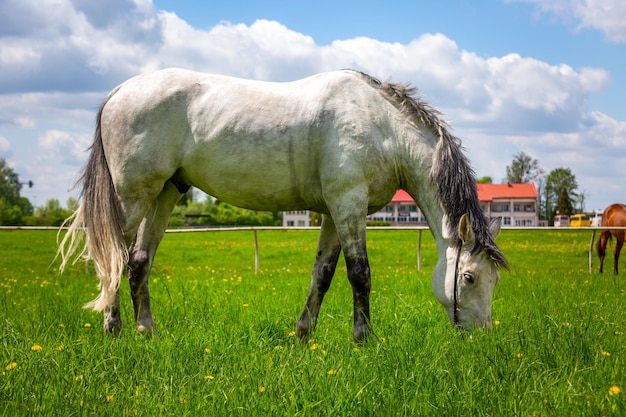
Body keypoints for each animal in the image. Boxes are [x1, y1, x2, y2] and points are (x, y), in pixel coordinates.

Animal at [58, 68, 504, 340]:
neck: (382, 127)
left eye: (494, 279)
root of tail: (118, 92)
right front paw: (364, 338)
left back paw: (146, 332)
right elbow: (359, 274)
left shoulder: (334, 213)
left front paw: (304, 334)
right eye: (469, 277)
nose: (481, 336)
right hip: (133, 196)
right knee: (113, 259)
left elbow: (322, 274)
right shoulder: (348, 205)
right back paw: (114, 329)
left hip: (166, 192)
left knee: (138, 261)